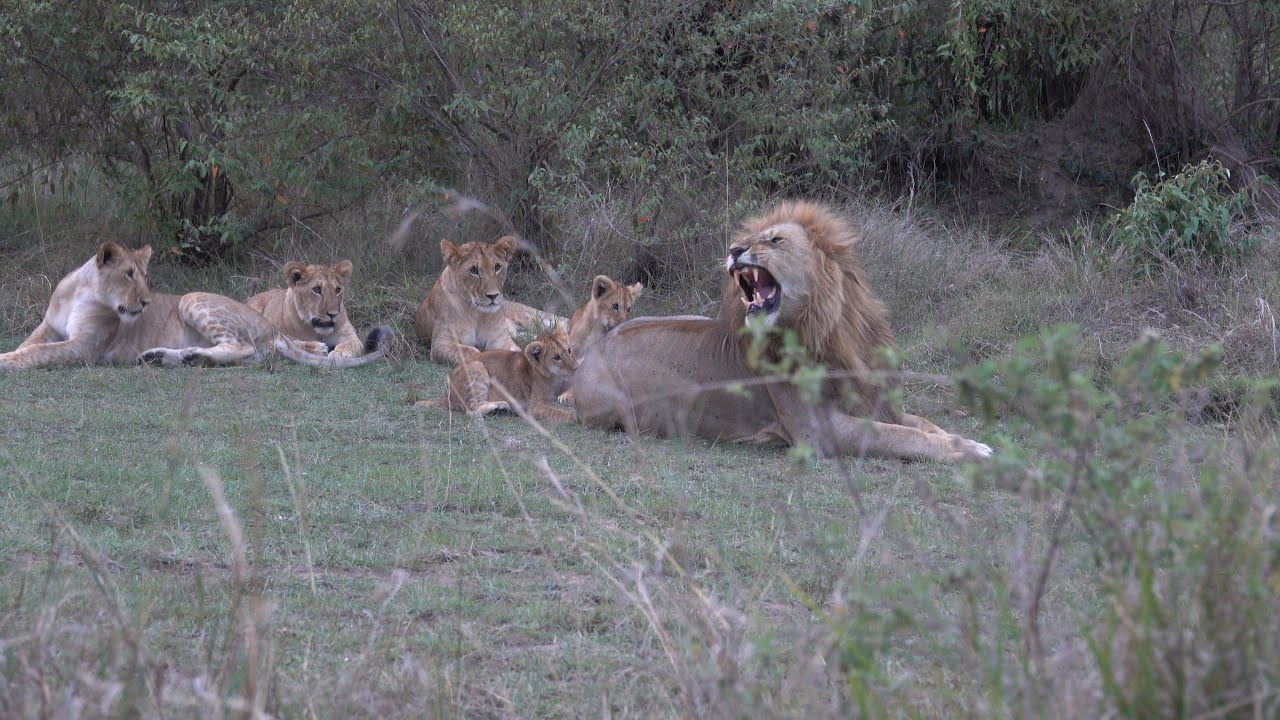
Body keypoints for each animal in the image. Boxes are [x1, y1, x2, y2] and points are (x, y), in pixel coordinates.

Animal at [246, 260, 388, 358]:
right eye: (317, 290)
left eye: (338, 290)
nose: (333, 314)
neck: (317, 332)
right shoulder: (279, 335)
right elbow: (291, 344)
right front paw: (318, 348)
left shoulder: (350, 336)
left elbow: (351, 344)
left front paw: (340, 353)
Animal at [413, 236, 520, 365]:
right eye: (474, 270)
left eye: (497, 267)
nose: (493, 295)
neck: (477, 314)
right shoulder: (440, 343)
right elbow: (471, 351)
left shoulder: (499, 338)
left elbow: (517, 351)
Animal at [416, 326, 577, 423]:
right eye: (557, 357)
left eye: (569, 350)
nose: (576, 367)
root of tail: (445, 396)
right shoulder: (533, 407)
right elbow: (554, 412)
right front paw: (572, 416)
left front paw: (568, 397)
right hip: (477, 366)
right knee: (472, 410)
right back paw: (500, 406)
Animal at [571, 201, 992, 463]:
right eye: (748, 240)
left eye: (775, 240)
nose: (734, 249)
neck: (824, 329)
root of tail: (589, 354)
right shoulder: (819, 432)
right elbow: (904, 437)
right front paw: (970, 453)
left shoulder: (871, 400)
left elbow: (922, 424)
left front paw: (973, 443)